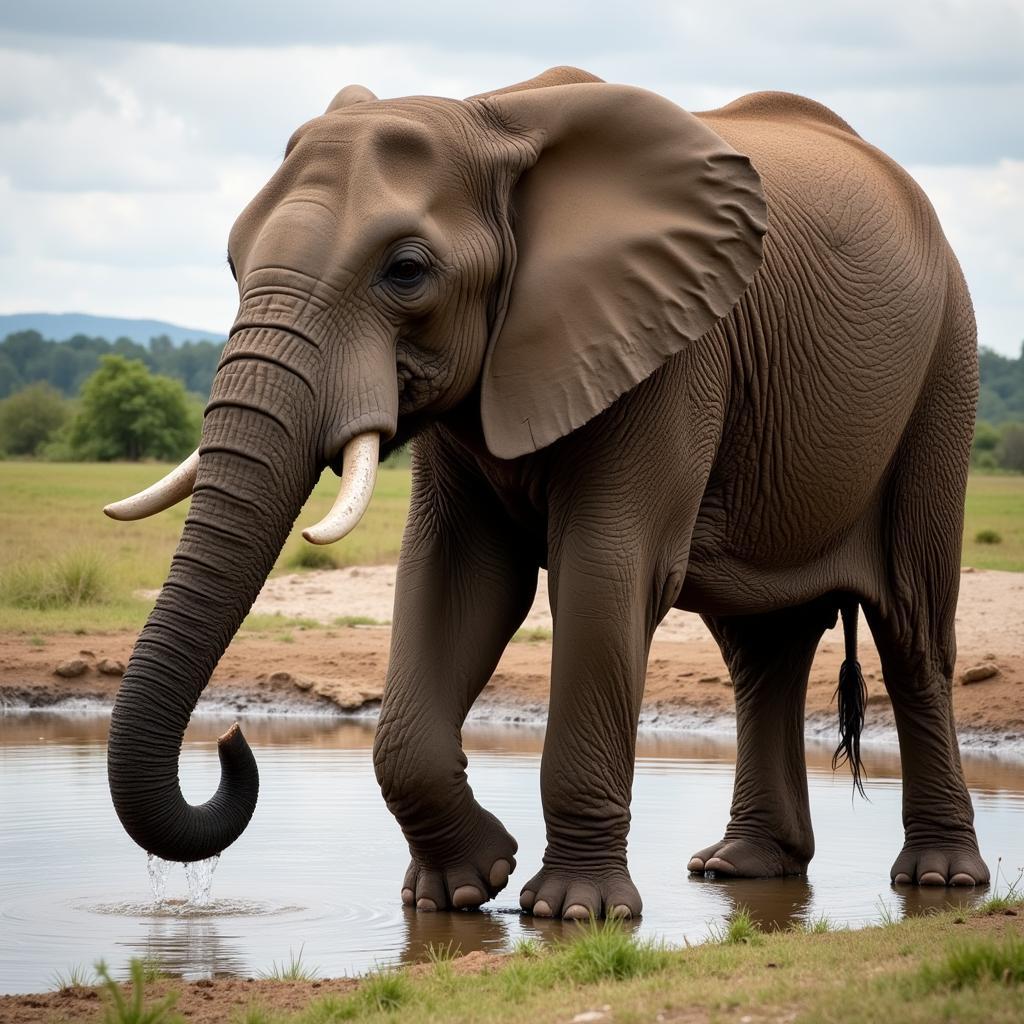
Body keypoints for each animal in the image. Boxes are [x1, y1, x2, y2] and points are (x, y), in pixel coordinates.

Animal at [105, 66, 991, 921]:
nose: (230, 741)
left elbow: (603, 570)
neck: (493, 117)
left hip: (945, 368)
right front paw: (458, 893)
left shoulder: (671, 349)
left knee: (911, 627)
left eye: (406, 271)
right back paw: (740, 868)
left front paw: (574, 912)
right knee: (760, 647)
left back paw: (939, 879)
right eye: (232, 264)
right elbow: (459, 578)